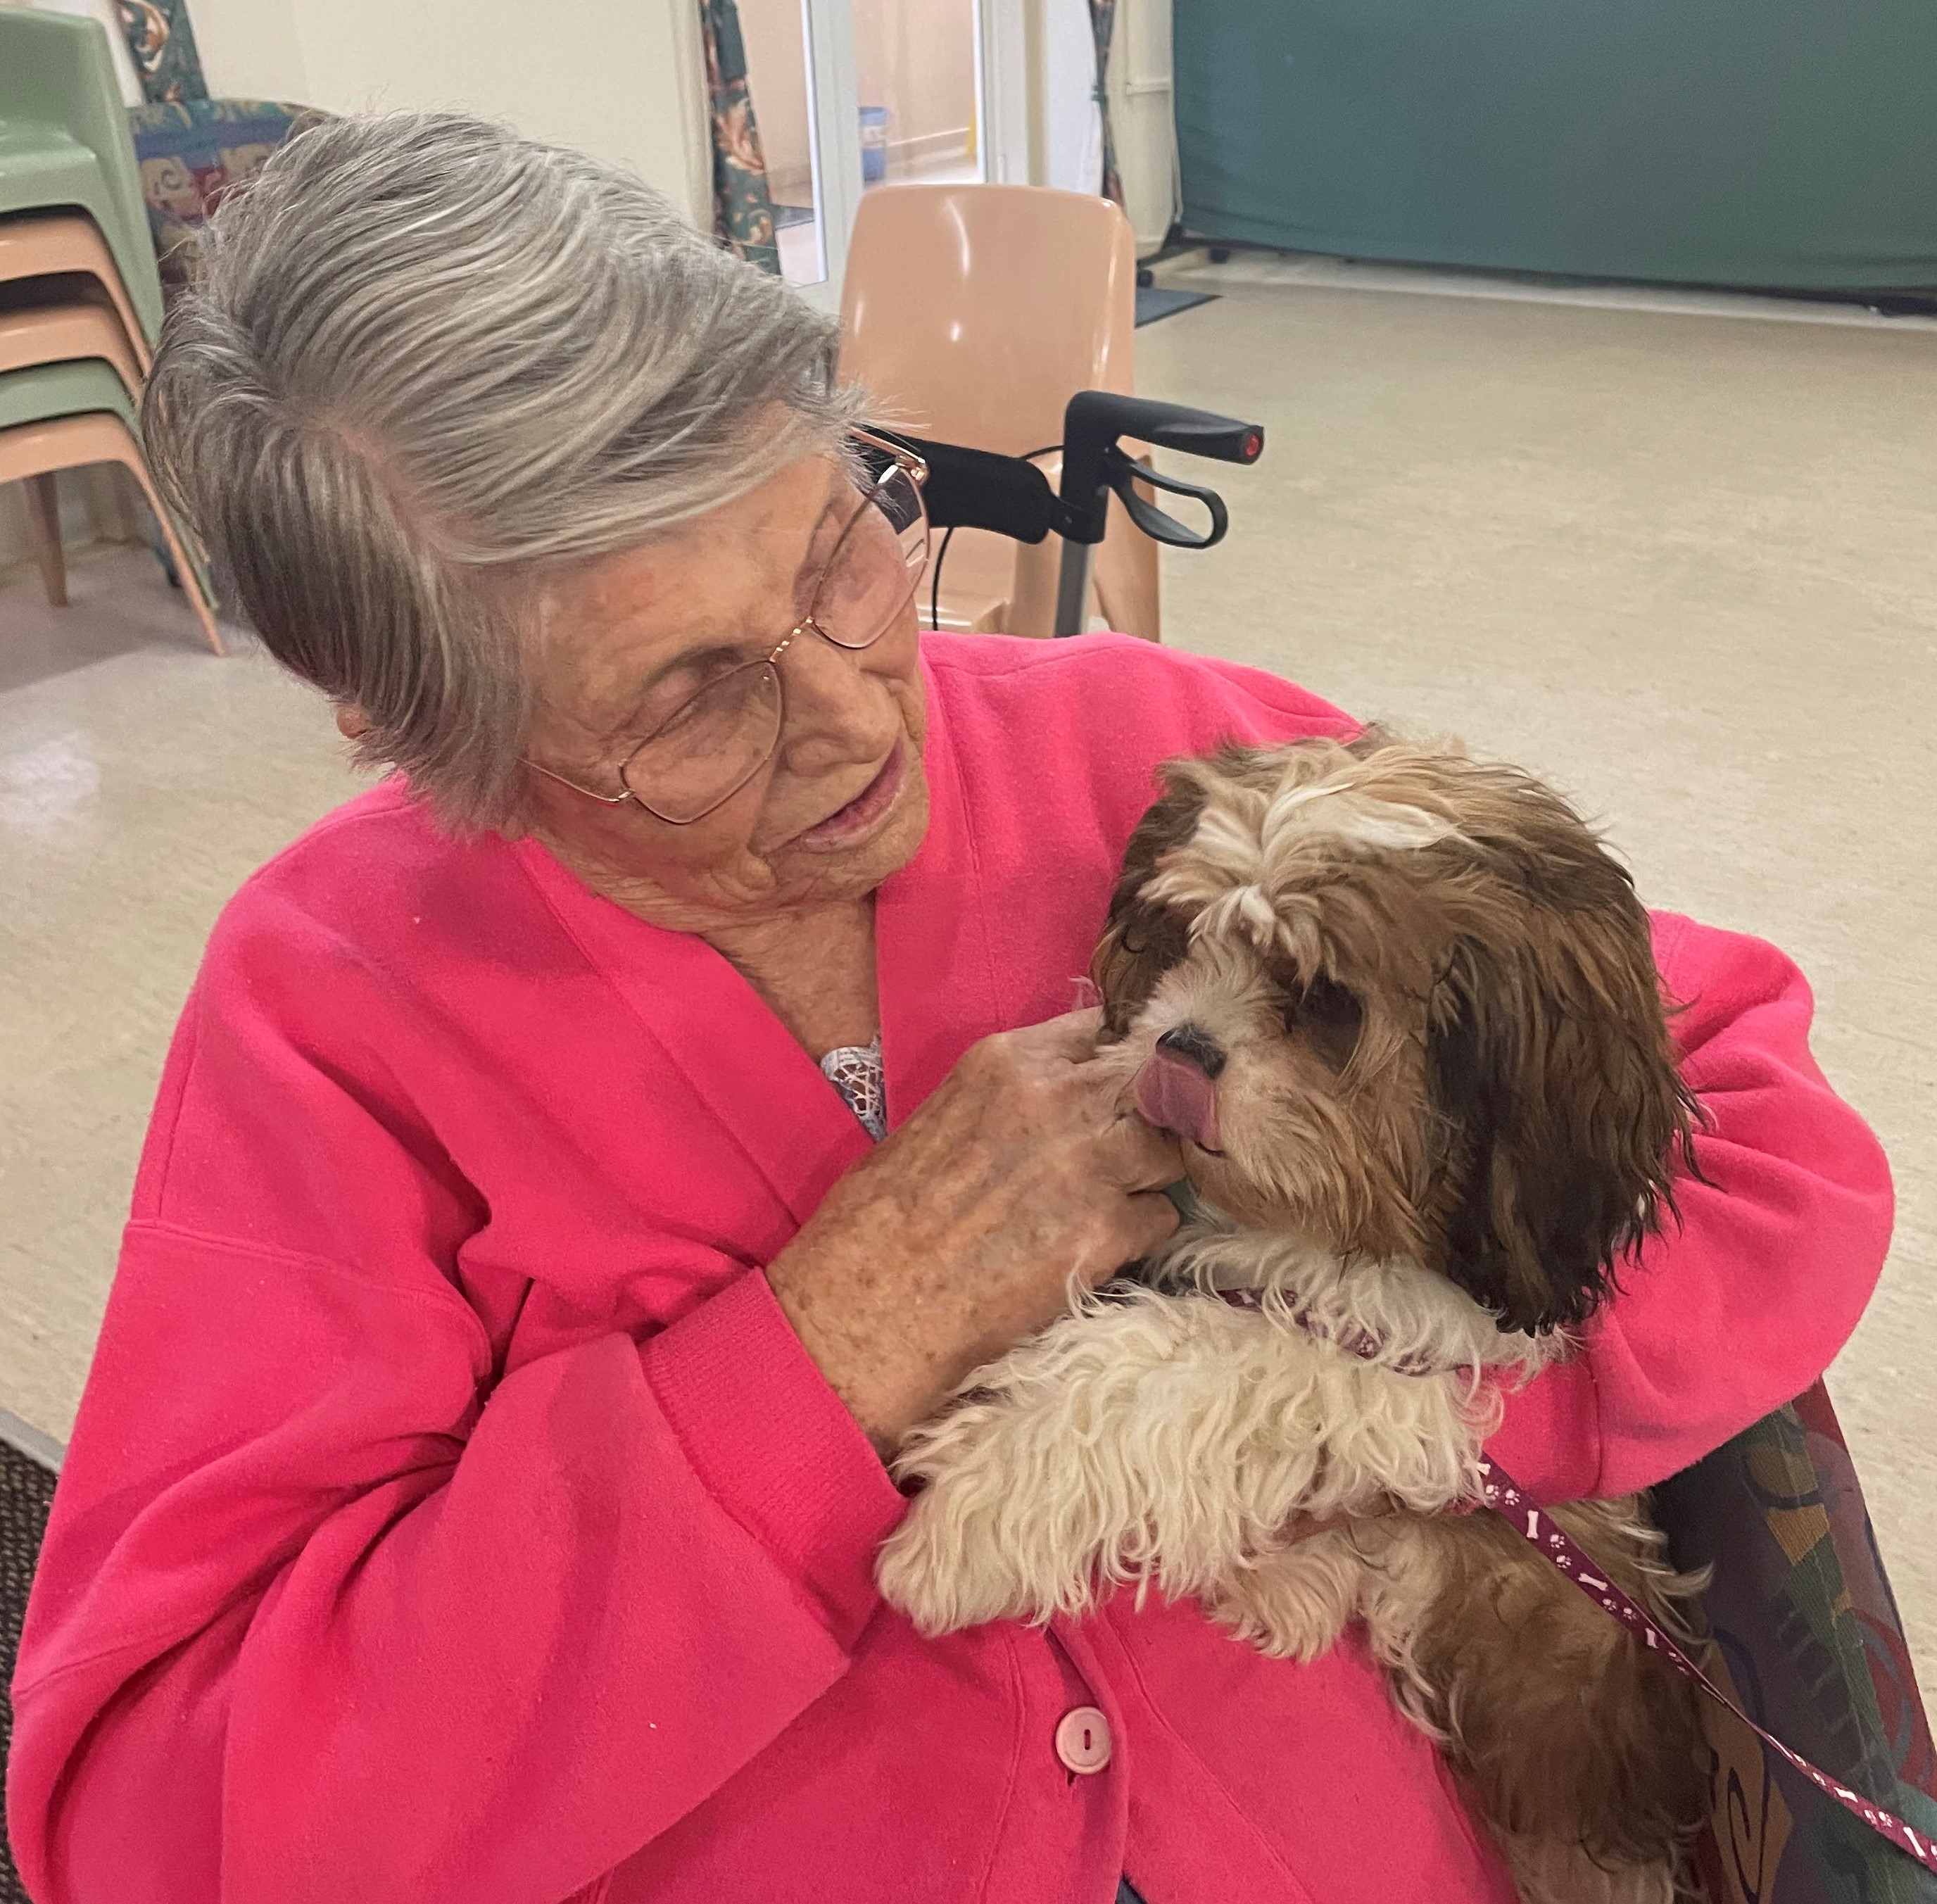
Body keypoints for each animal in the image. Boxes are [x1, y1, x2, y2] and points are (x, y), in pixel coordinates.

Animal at [879, 732, 1712, 1904]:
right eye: (1186, 937)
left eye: (1324, 1000)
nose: (1181, 1047)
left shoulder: (1406, 1372)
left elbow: (1203, 1370)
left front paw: (967, 1518)